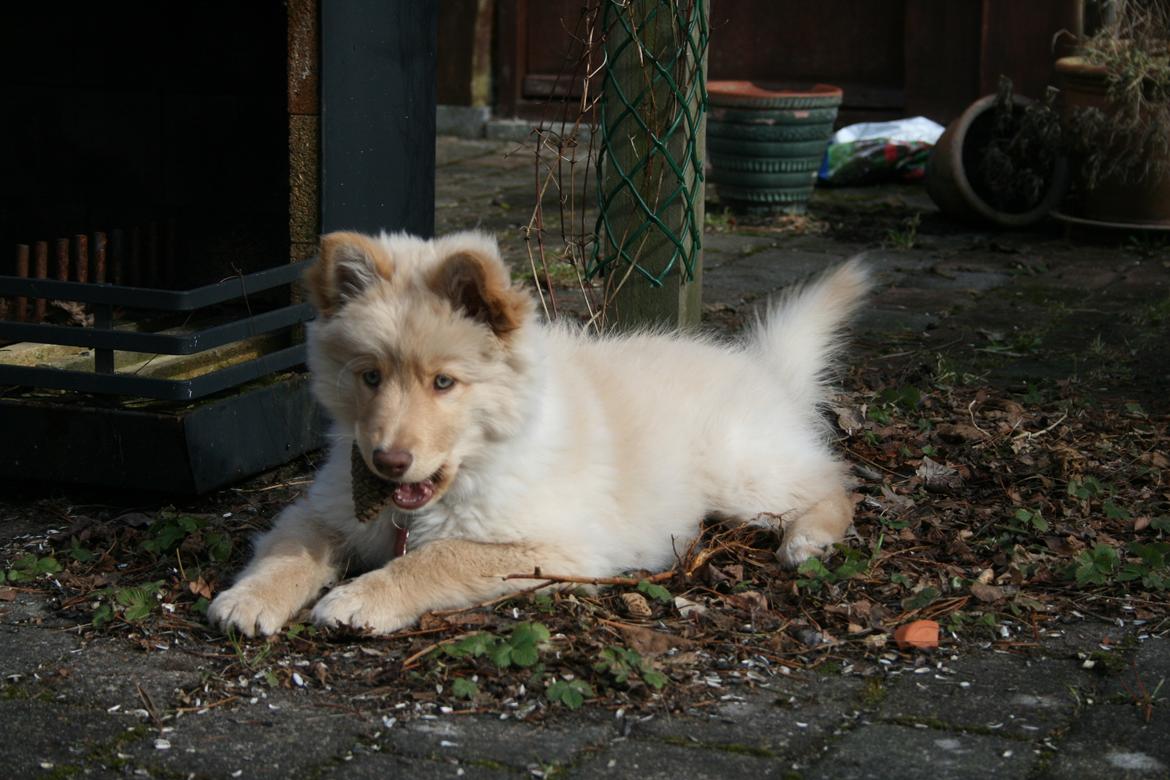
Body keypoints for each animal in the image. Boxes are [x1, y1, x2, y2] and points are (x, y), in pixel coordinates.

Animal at [210, 231, 870, 636]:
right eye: (370, 376)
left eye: (444, 383)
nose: (387, 462)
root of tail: (763, 368)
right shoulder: (326, 508)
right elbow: (289, 549)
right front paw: (250, 597)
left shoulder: (555, 548)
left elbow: (437, 557)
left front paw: (359, 597)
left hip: (741, 475)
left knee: (836, 482)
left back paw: (809, 540)